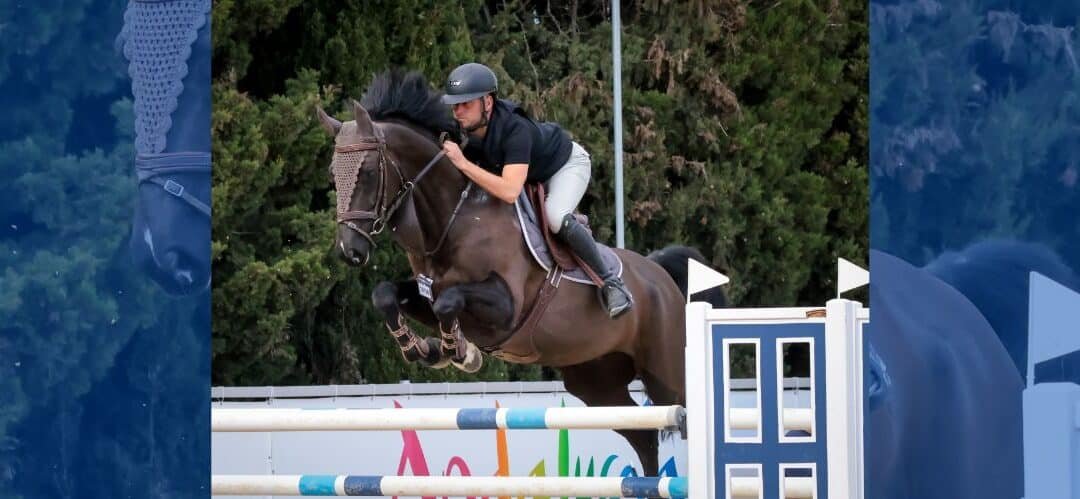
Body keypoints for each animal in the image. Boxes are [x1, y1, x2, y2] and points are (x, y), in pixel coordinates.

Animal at [316, 69, 724, 477]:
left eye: (369, 172)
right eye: (334, 175)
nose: (349, 252)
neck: (455, 216)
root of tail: (660, 275)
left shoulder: (505, 306)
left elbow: (450, 300)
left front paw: (457, 351)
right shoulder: (426, 291)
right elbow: (386, 294)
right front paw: (426, 348)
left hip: (665, 372)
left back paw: (616, 295)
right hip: (596, 380)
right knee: (643, 434)